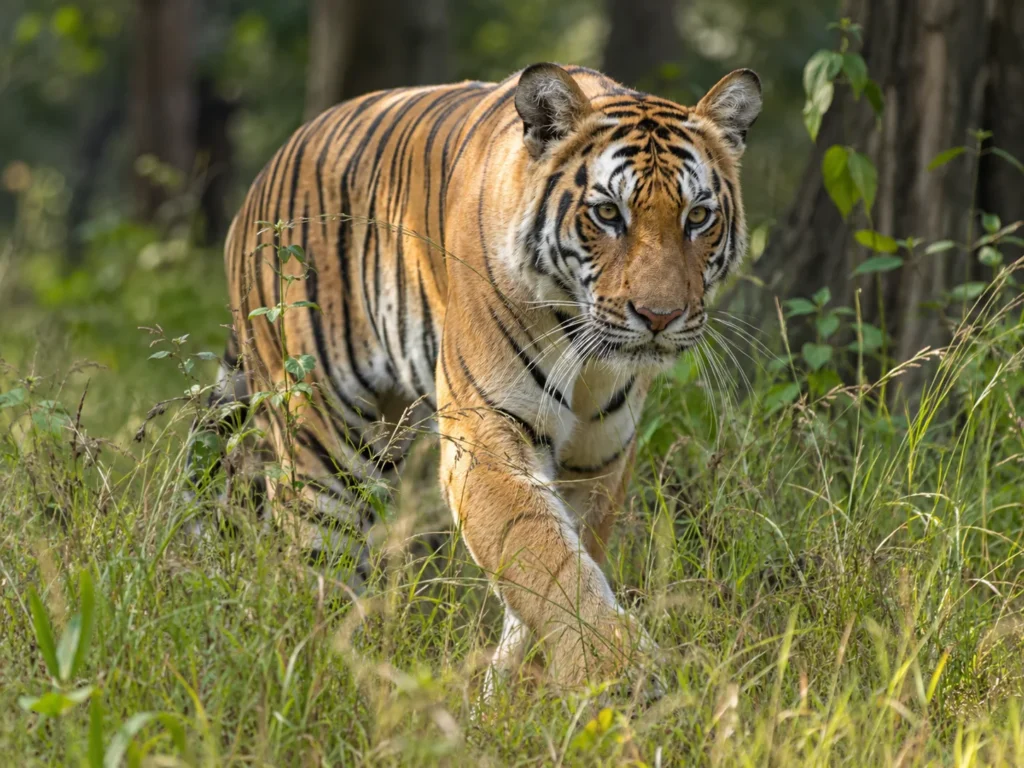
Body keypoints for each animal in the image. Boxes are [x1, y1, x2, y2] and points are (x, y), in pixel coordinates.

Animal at [202, 62, 761, 692]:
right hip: (322, 440)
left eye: (698, 217)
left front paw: (522, 692)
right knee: (313, 565)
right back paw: (321, 676)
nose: (659, 316)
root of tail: (264, 175)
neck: (589, 353)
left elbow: (558, 564)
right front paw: (615, 676)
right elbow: (542, 553)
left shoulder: (599, 459)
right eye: (608, 214)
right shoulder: (485, 432)